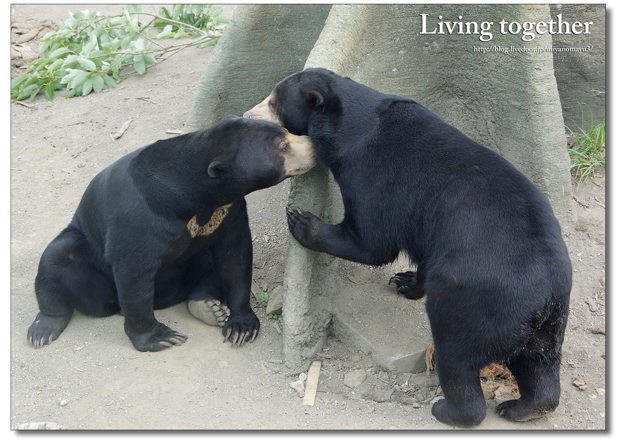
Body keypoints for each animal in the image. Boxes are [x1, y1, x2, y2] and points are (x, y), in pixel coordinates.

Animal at [27, 116, 318, 352]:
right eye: (283, 146)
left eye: (286, 131)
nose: (314, 144)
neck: (192, 196)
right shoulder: (136, 221)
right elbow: (133, 273)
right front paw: (160, 338)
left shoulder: (228, 209)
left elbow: (235, 254)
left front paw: (241, 326)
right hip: (88, 262)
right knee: (56, 259)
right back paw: (43, 329)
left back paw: (208, 307)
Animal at [245, 68, 572, 426]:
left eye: (274, 102)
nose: (247, 114)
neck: (353, 123)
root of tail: (544, 292)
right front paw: (404, 281)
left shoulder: (371, 173)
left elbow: (371, 241)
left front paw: (301, 221)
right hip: (547, 323)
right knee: (539, 363)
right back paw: (524, 407)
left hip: (474, 300)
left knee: (456, 355)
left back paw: (450, 410)